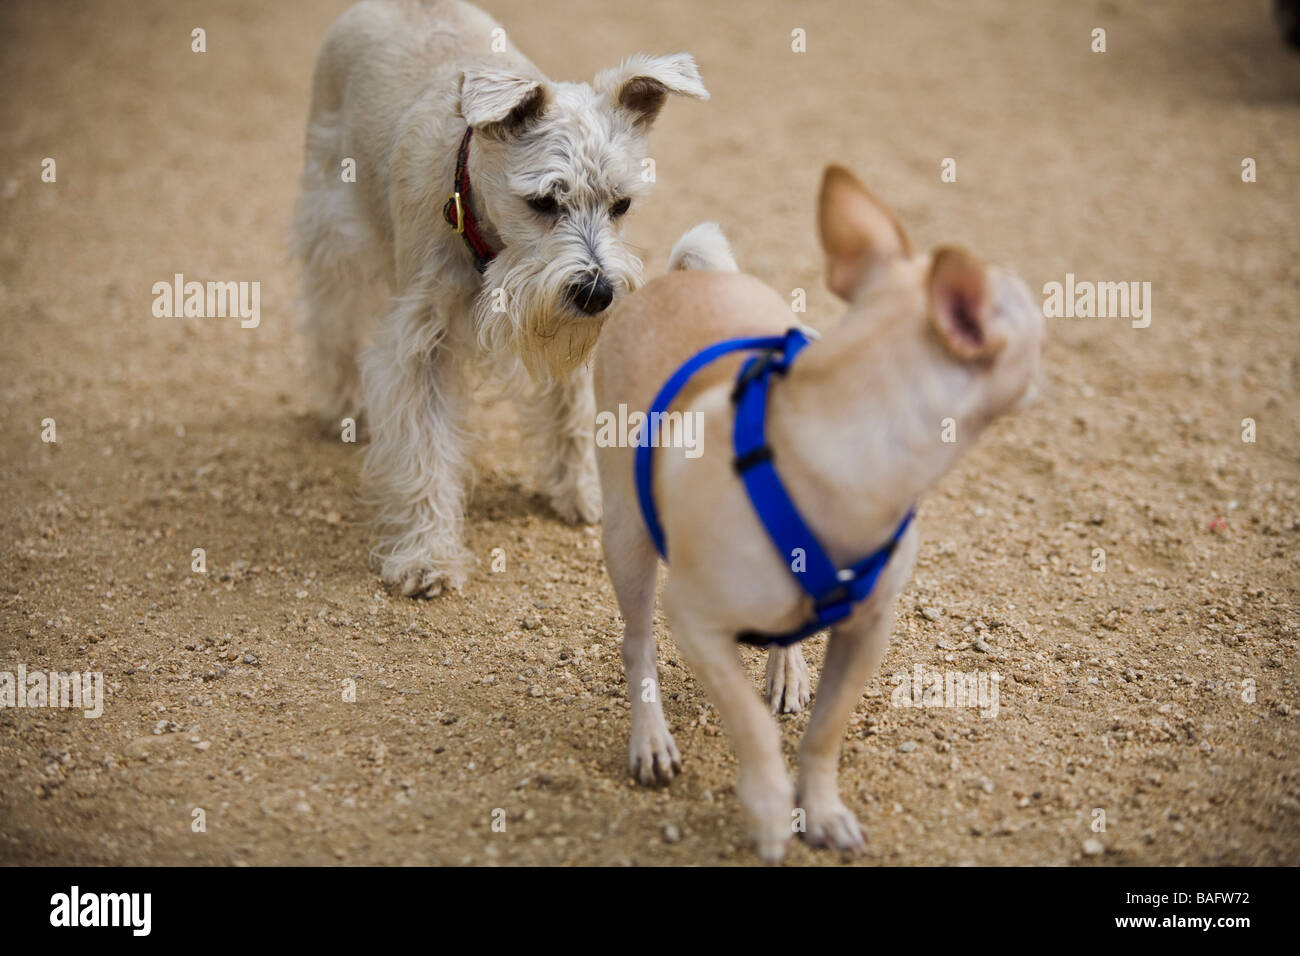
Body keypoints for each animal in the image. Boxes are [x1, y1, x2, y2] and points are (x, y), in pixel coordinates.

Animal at [291, 1, 707, 598]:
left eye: (622, 204)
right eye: (542, 201)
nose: (597, 292)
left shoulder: (564, 327)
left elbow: (572, 412)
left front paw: (582, 494)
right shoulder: (420, 345)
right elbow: (423, 451)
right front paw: (427, 556)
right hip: (332, 223)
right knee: (332, 321)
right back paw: (344, 407)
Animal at [595, 167, 1045, 863]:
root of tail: (678, 278)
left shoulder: (868, 630)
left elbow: (826, 729)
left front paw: (823, 809)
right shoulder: (695, 624)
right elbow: (750, 726)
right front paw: (771, 808)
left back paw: (787, 672)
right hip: (628, 540)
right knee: (637, 643)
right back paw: (650, 739)